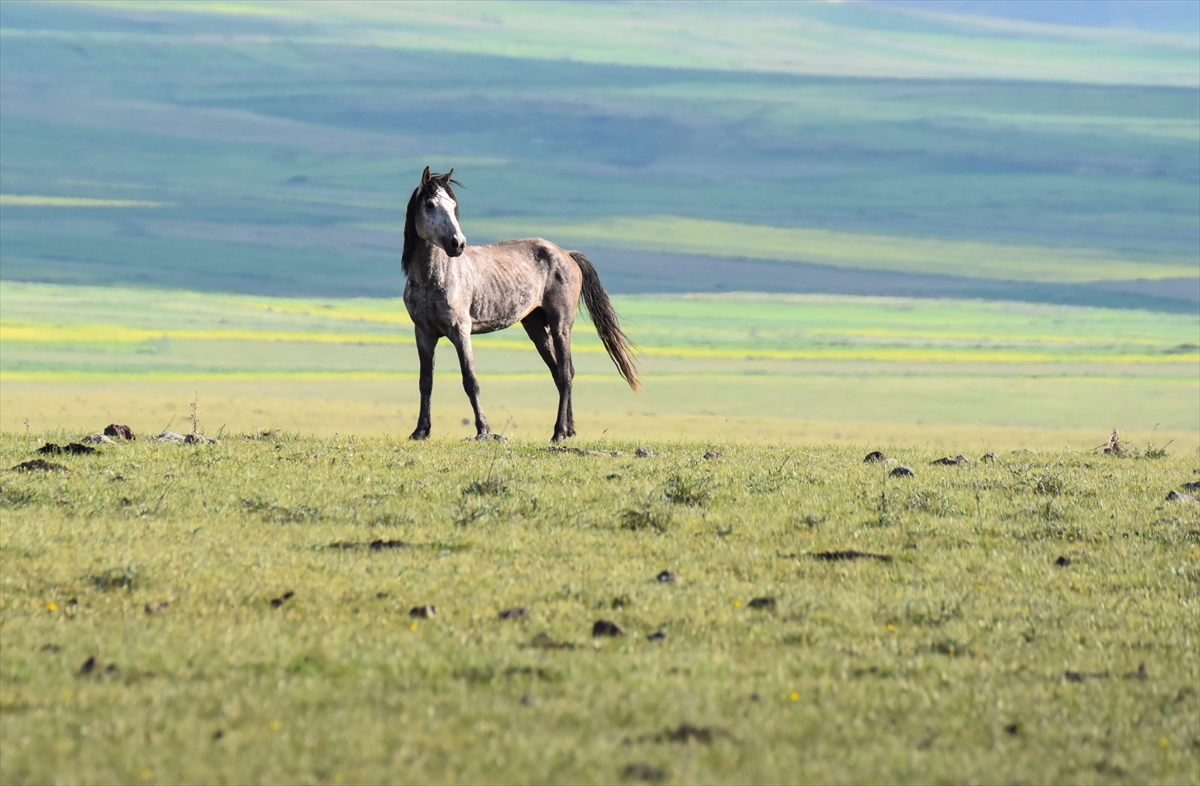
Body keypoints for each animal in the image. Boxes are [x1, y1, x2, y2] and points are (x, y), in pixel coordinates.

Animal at [400, 168, 638, 441]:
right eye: (430, 204)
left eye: (453, 205)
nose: (457, 243)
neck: (433, 277)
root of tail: (566, 254)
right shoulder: (424, 333)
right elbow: (425, 382)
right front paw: (420, 431)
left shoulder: (461, 331)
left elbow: (470, 380)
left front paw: (483, 430)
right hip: (536, 327)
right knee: (560, 372)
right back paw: (569, 430)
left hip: (560, 325)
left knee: (566, 373)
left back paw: (558, 433)